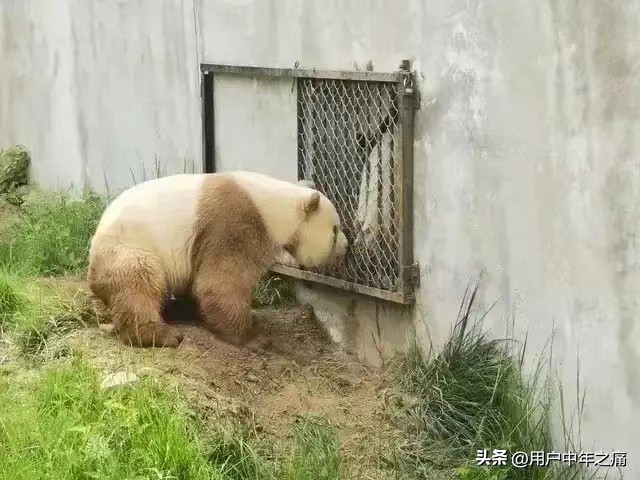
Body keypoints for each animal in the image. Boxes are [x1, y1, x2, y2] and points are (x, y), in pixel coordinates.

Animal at [87, 170, 348, 349]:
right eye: (335, 230)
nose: (346, 247)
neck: (272, 205)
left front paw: (250, 321)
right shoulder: (232, 222)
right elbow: (221, 282)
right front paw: (253, 337)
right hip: (127, 248)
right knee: (139, 281)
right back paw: (162, 334)